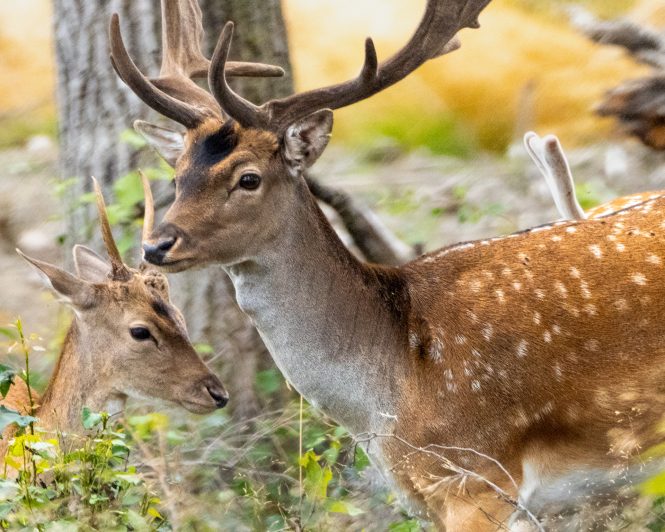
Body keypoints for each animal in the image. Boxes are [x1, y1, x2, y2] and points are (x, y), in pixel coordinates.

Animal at [111, 0, 664, 528]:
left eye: (248, 178)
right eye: (179, 173)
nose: (156, 245)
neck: (388, 400)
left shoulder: (479, 478)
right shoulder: (426, 493)